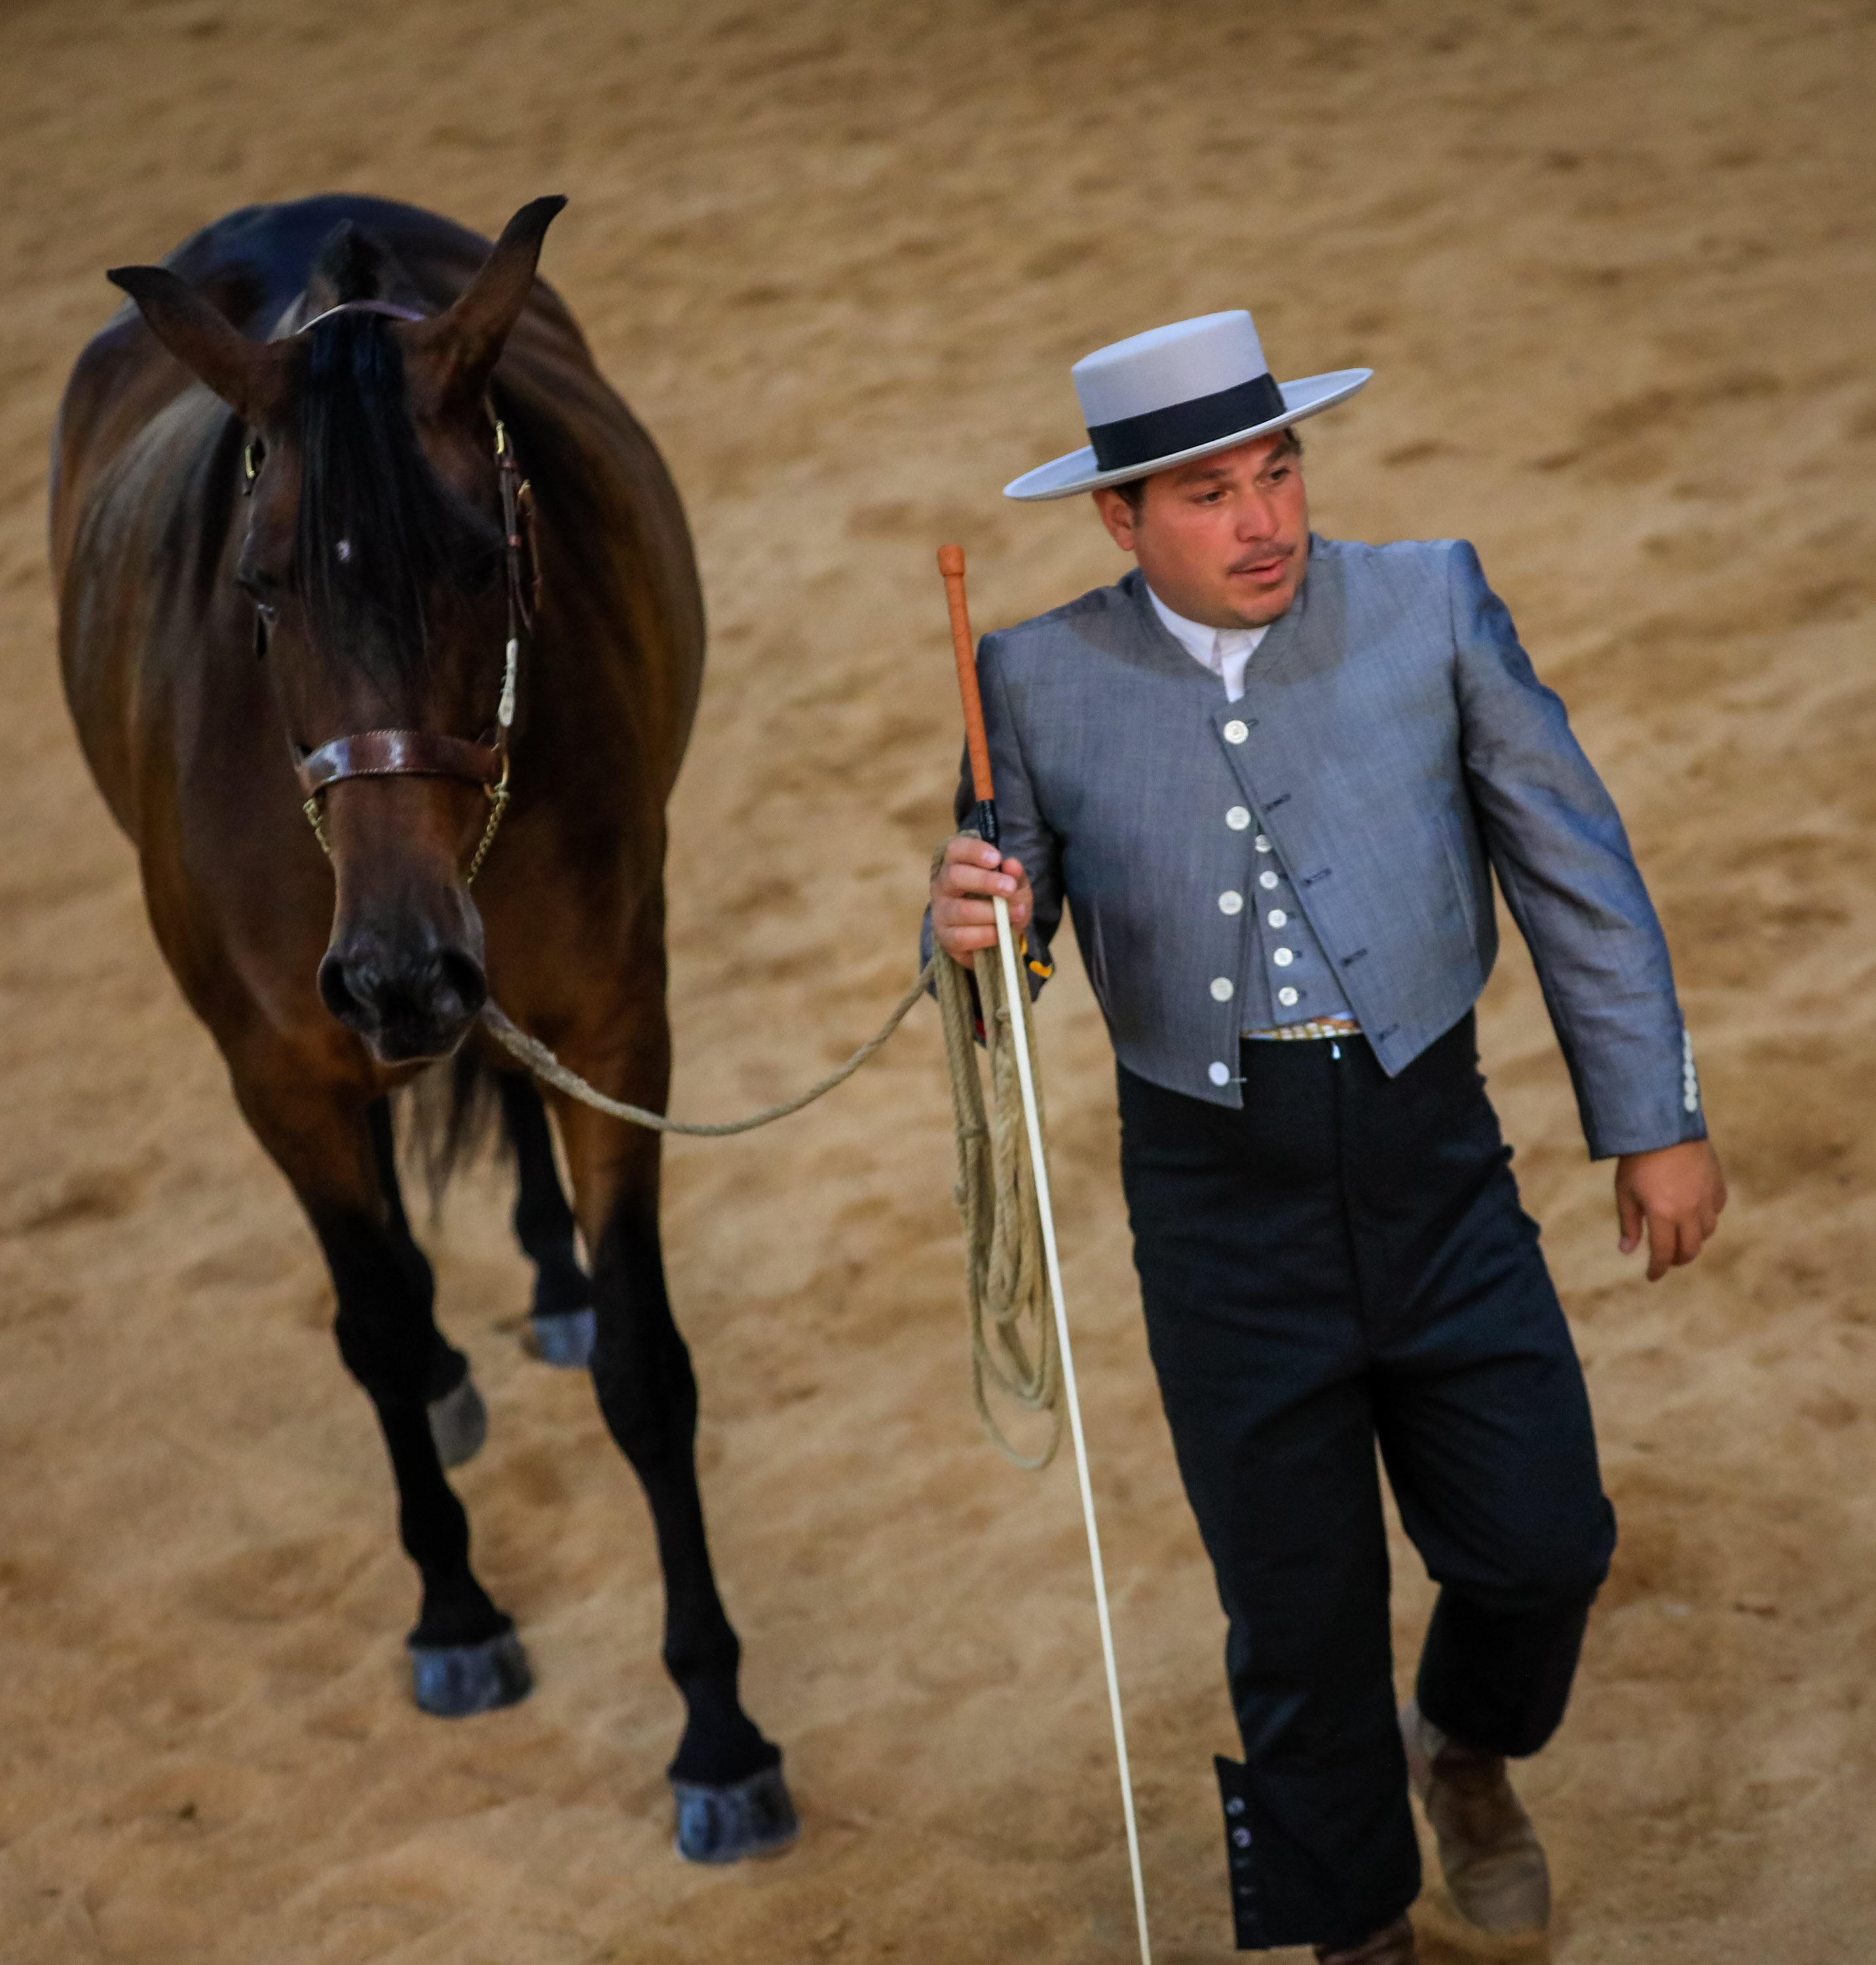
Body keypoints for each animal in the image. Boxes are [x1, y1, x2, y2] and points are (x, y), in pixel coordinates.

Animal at [49, 191, 801, 1863]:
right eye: (262, 589)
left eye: (479, 560)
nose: (397, 969)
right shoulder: (279, 1074)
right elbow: (380, 1329)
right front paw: (457, 1613)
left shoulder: (617, 1023)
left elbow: (648, 1369)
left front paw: (717, 1733)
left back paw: (544, 1275)